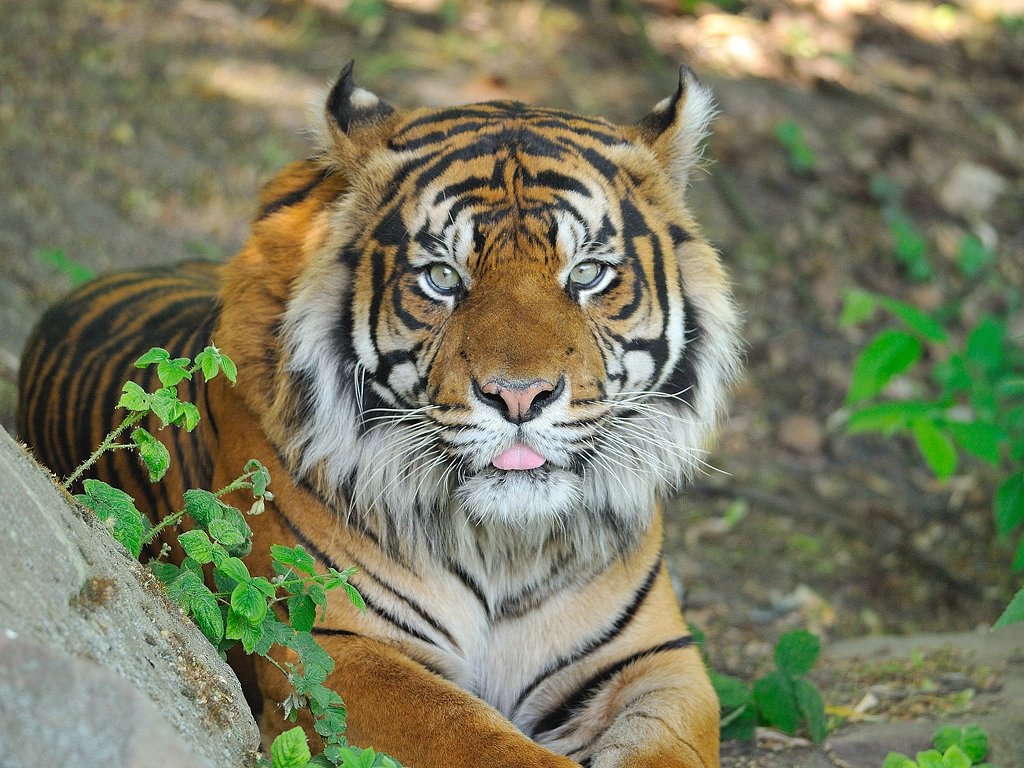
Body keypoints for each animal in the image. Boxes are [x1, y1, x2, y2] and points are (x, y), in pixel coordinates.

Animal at [18, 62, 741, 768]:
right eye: (442, 278)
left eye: (588, 273)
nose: (519, 396)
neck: (506, 547)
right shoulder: (331, 642)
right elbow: (481, 740)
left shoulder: (655, 661)